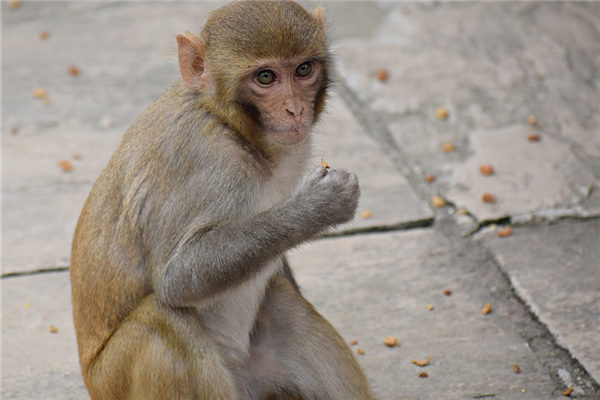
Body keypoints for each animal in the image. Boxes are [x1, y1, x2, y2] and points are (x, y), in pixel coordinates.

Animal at [68, 1, 372, 398]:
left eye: (304, 69)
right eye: (266, 77)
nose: (295, 109)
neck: (232, 126)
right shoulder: (202, 162)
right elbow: (177, 278)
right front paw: (318, 207)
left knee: (280, 298)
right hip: (115, 379)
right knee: (161, 320)